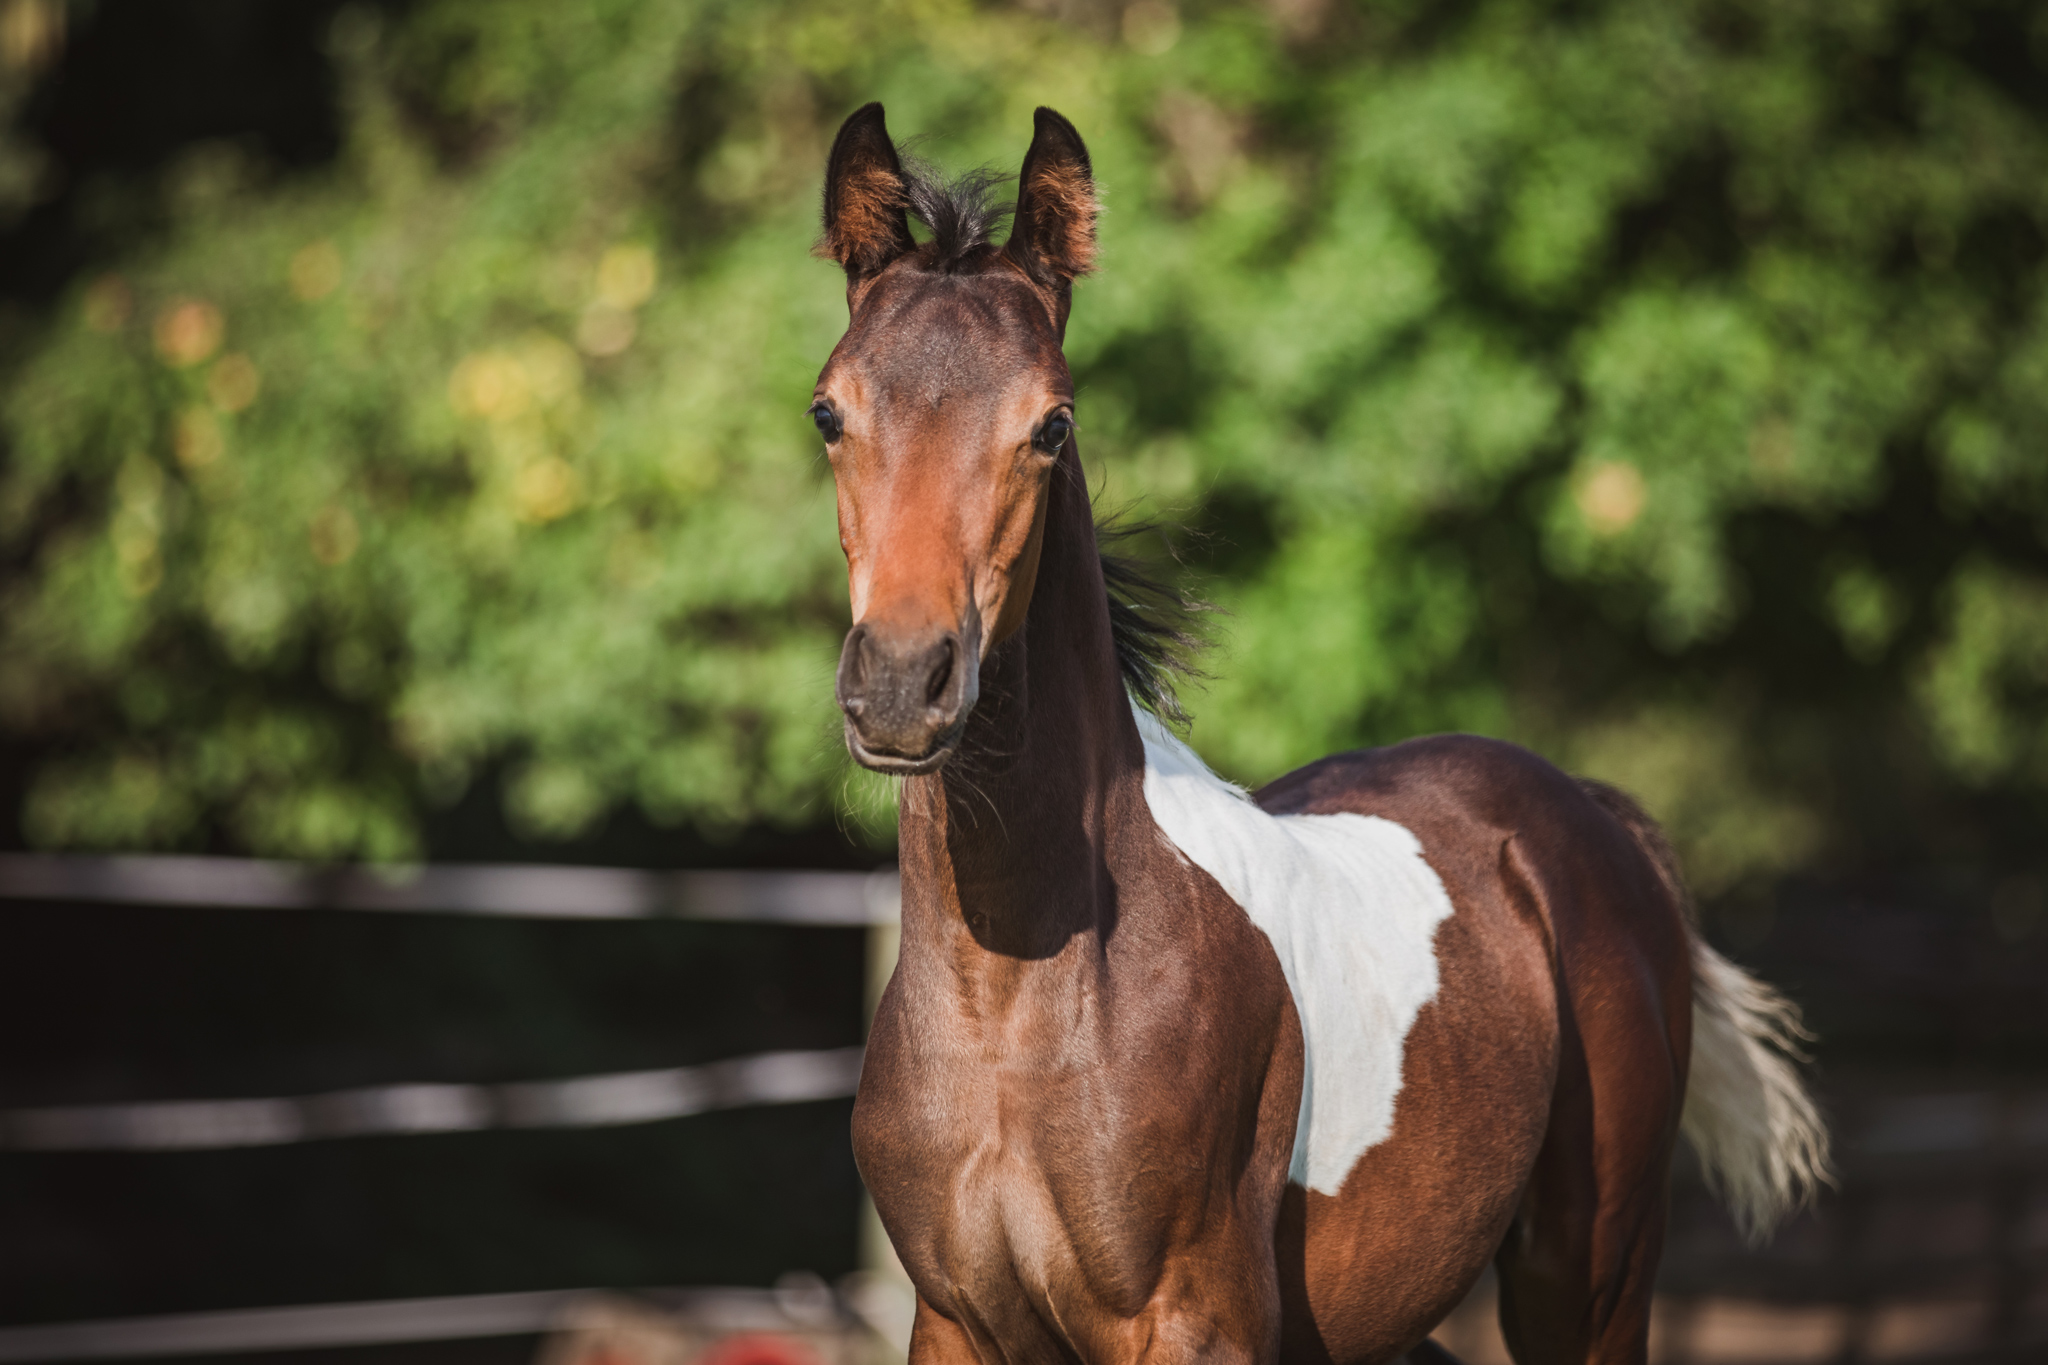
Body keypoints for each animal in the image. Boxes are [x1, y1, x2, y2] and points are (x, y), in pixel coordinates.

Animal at [806, 104, 1835, 1365]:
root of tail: (1591, 819)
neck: (1015, 1005)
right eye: (828, 412)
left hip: (1586, 1279)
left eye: (1050, 426)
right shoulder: (953, 1323)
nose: (903, 684)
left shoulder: (1194, 1325)